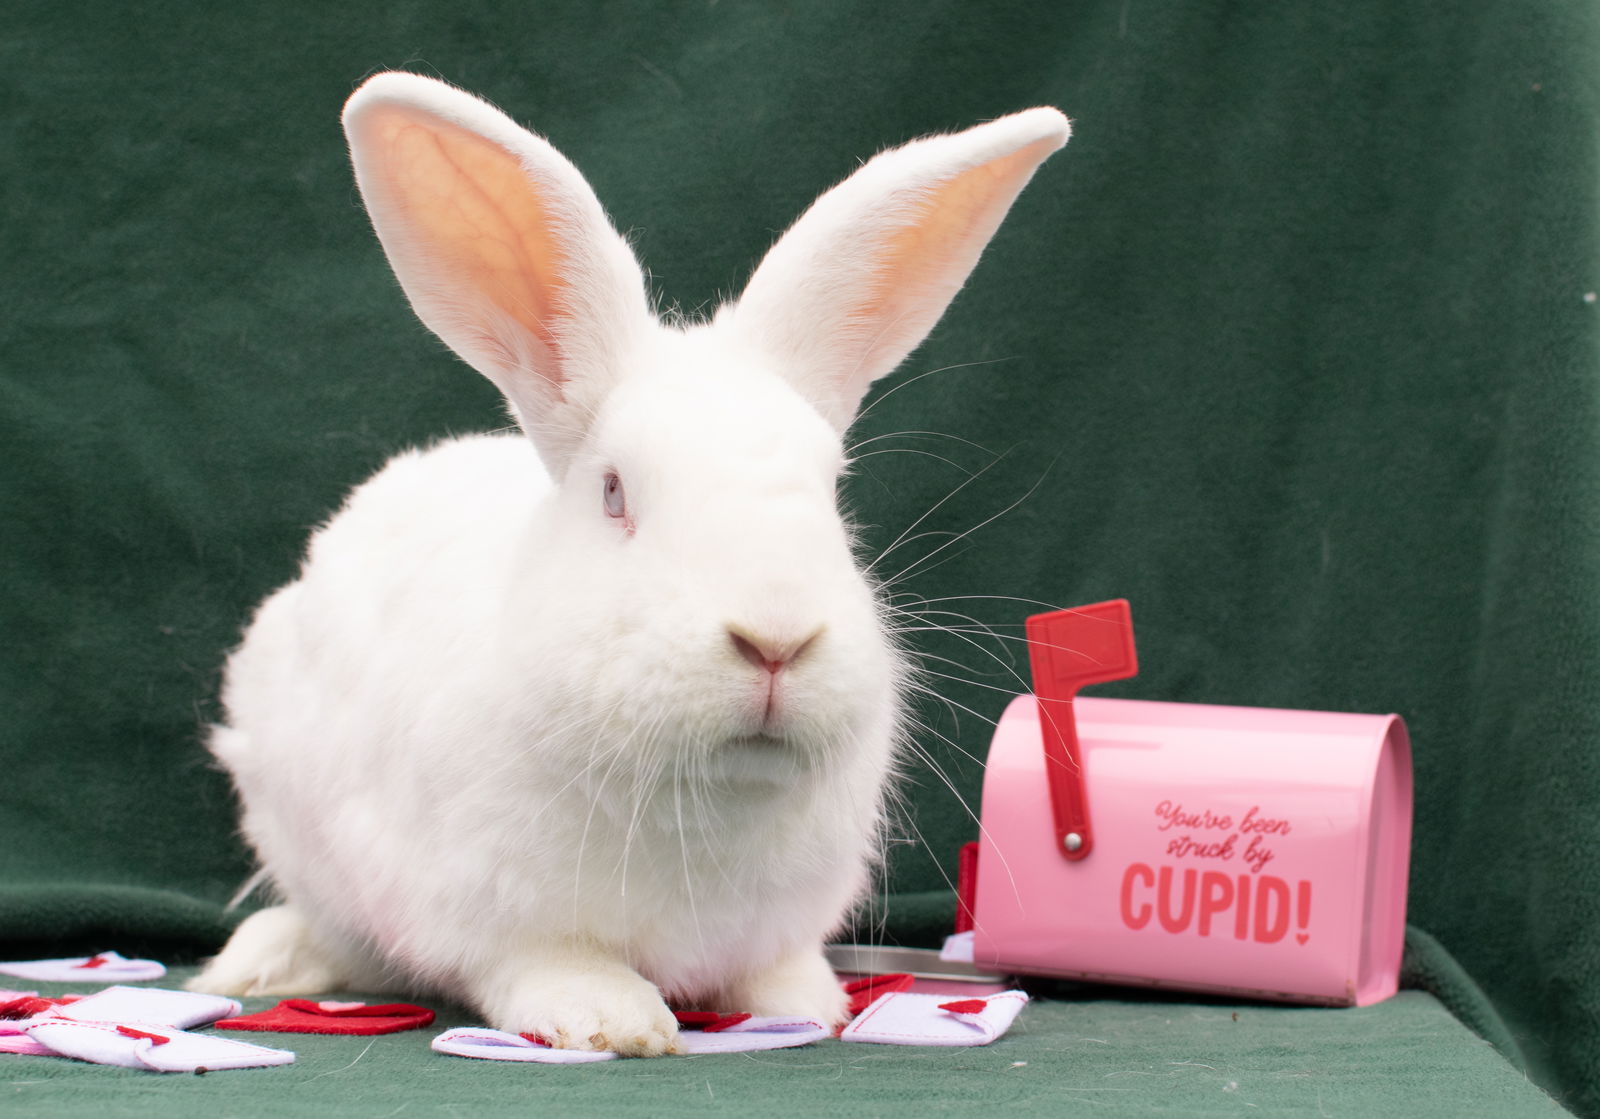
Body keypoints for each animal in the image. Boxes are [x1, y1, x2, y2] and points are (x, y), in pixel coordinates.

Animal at [187, 72, 1068, 1056]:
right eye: (614, 492)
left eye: (833, 493)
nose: (776, 640)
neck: (703, 793)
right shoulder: (494, 912)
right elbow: (545, 961)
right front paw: (611, 1019)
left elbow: (772, 968)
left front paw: (807, 1003)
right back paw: (259, 963)